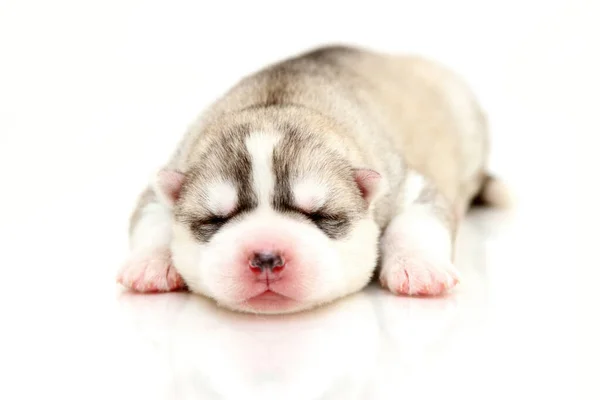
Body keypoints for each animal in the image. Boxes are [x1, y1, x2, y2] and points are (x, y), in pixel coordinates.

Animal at [116, 45, 506, 314]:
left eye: (319, 215)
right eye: (216, 219)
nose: (266, 257)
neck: (277, 103)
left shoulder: (403, 183)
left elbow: (418, 217)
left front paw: (419, 267)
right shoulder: (172, 170)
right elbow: (151, 214)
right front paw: (150, 264)